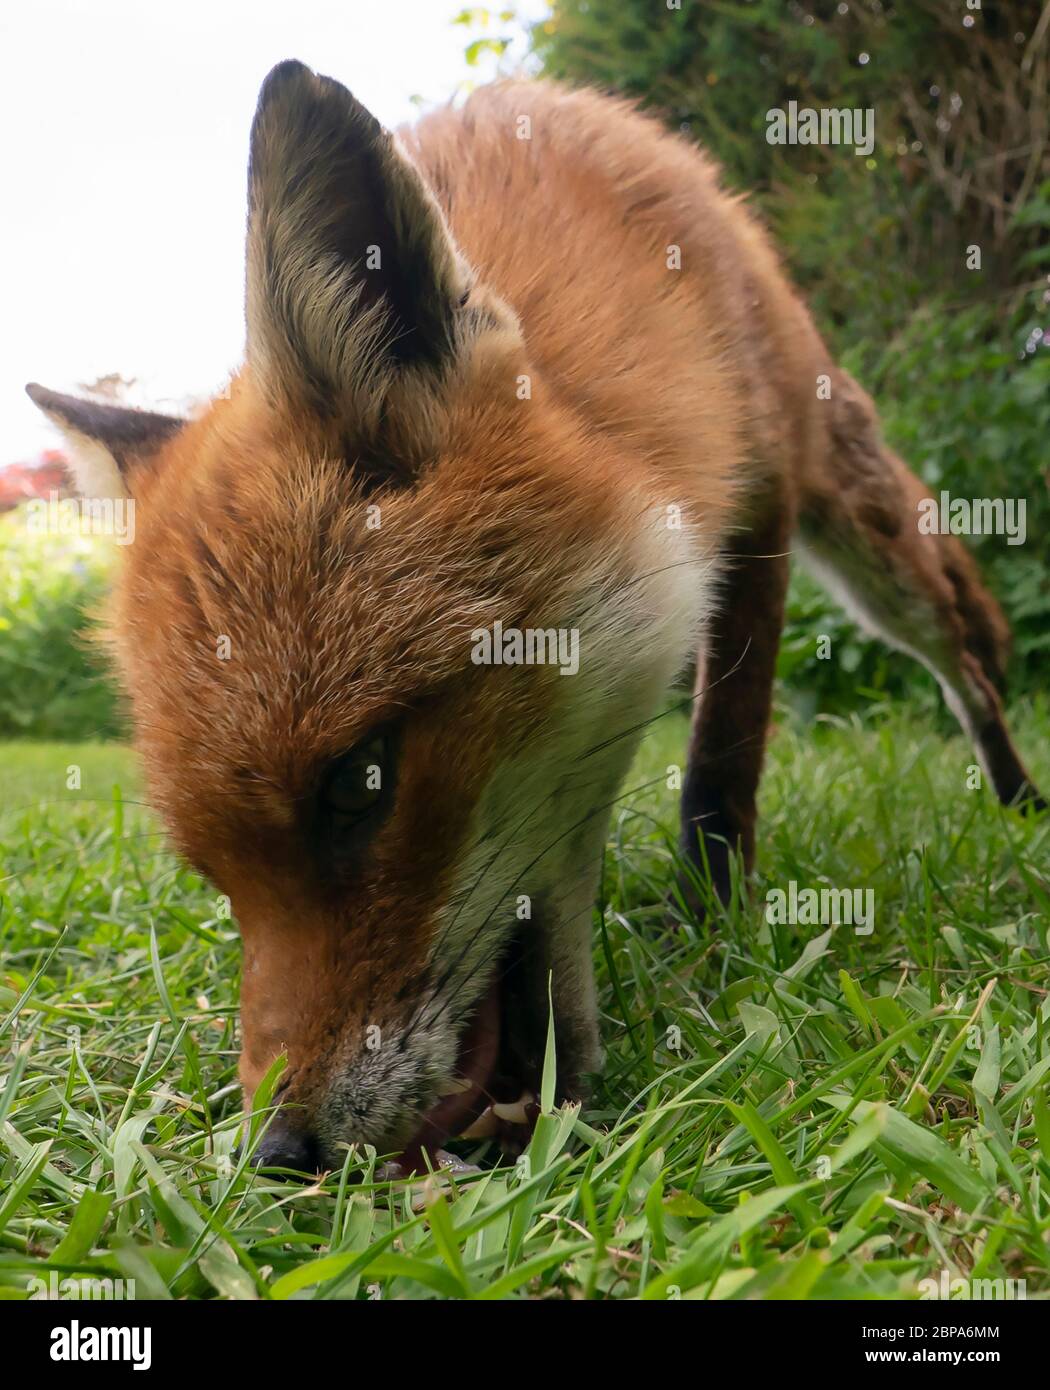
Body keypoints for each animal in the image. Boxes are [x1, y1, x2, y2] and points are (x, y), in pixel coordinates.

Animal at [27, 61, 1044, 1173]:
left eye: (359, 782)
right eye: (212, 873)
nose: (281, 1153)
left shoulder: (758, 503)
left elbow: (720, 765)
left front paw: (708, 917)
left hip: (864, 540)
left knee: (964, 662)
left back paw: (1015, 794)